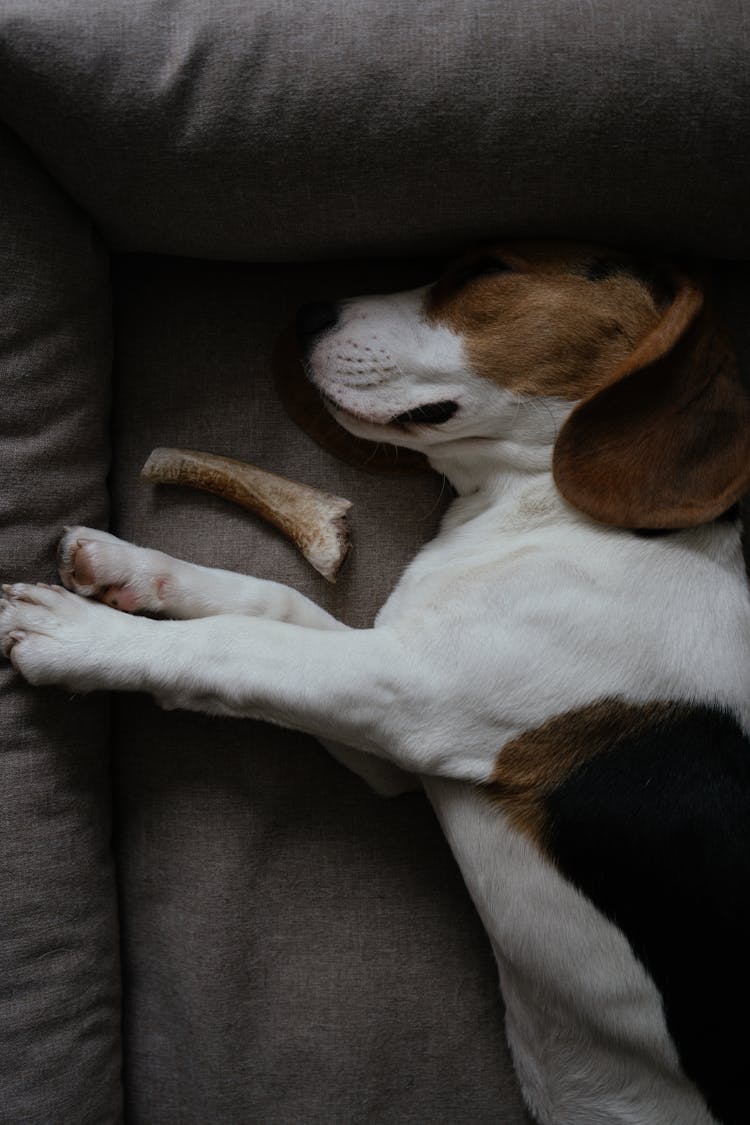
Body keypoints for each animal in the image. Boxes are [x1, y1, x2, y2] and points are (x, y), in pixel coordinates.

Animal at [1, 241, 750, 1120]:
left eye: (487, 270)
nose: (305, 312)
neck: (545, 513)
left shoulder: (411, 693)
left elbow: (234, 646)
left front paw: (79, 636)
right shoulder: (390, 703)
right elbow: (269, 600)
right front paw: (126, 568)